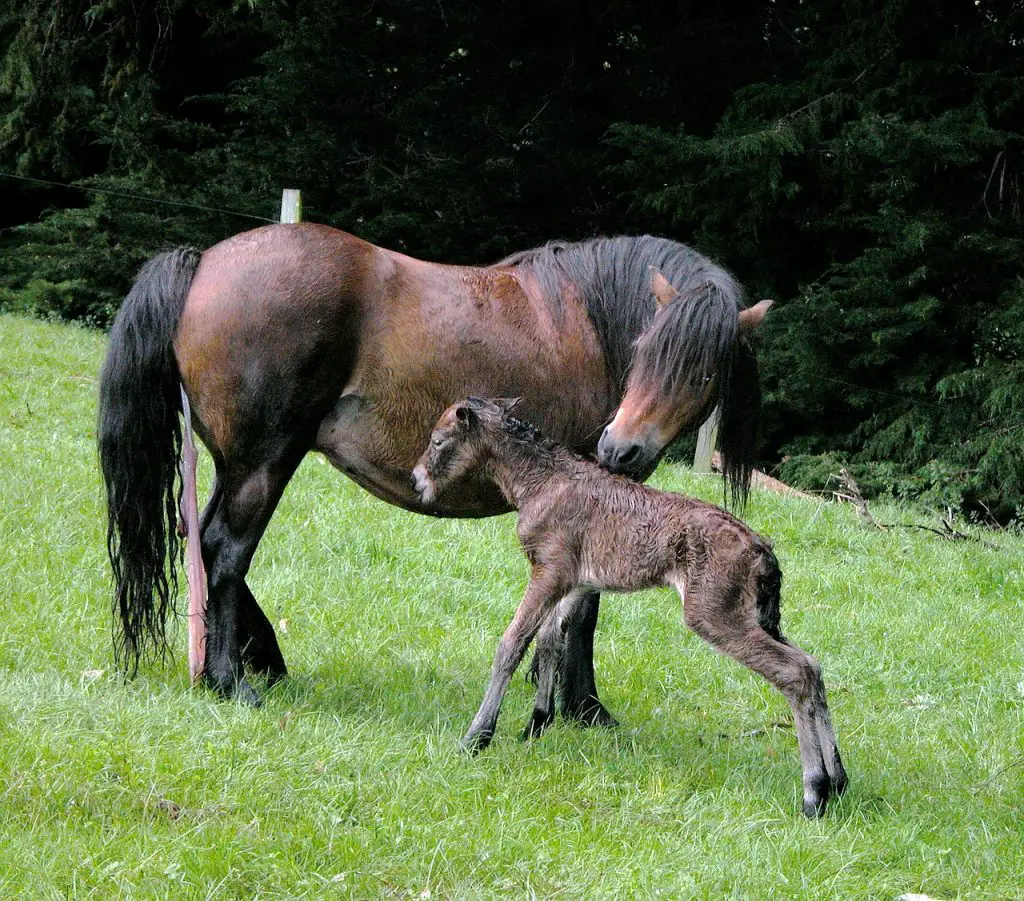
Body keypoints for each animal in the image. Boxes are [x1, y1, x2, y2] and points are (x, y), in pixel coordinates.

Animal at [99, 225, 770, 712]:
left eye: (704, 372)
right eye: (645, 350)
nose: (620, 449)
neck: (587, 318)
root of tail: (204, 262)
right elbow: (584, 608)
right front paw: (583, 708)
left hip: (234, 466)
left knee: (200, 543)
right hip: (264, 464)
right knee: (226, 551)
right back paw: (231, 679)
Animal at [409, 395, 847, 814]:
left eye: (438, 440)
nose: (416, 480)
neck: (542, 482)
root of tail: (762, 550)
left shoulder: (548, 571)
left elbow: (512, 644)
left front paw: (476, 737)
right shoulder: (576, 580)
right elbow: (550, 641)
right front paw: (536, 725)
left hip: (713, 614)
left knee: (795, 672)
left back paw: (814, 793)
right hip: (757, 616)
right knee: (812, 665)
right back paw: (838, 781)